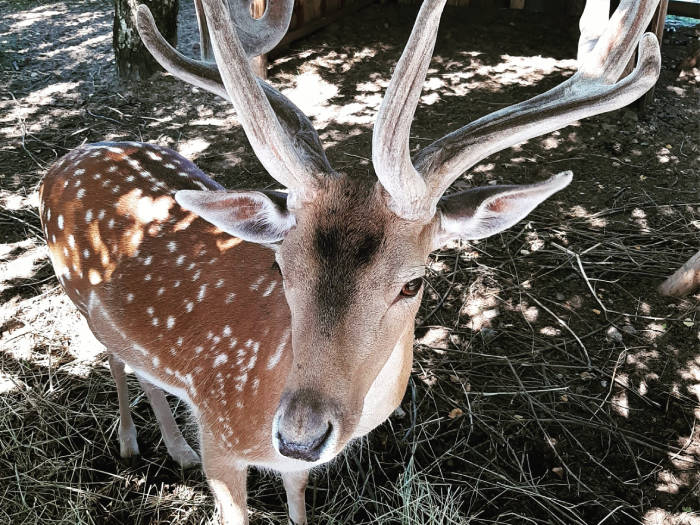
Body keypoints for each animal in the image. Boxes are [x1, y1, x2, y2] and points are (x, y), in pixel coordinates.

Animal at [39, 0, 660, 520]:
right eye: (281, 267)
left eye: (413, 283)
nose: (299, 434)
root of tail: (64, 159)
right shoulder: (221, 441)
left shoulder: (293, 468)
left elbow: (296, 502)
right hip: (76, 294)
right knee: (114, 358)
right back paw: (135, 443)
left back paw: (174, 447)